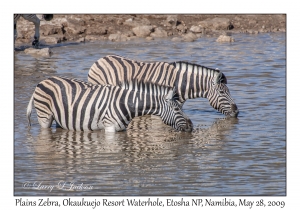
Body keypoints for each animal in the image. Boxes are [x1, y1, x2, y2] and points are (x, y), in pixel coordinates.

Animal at [27, 75, 193, 131]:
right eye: (177, 109)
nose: (191, 127)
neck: (127, 103)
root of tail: (43, 81)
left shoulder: (121, 130)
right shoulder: (110, 129)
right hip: (44, 117)